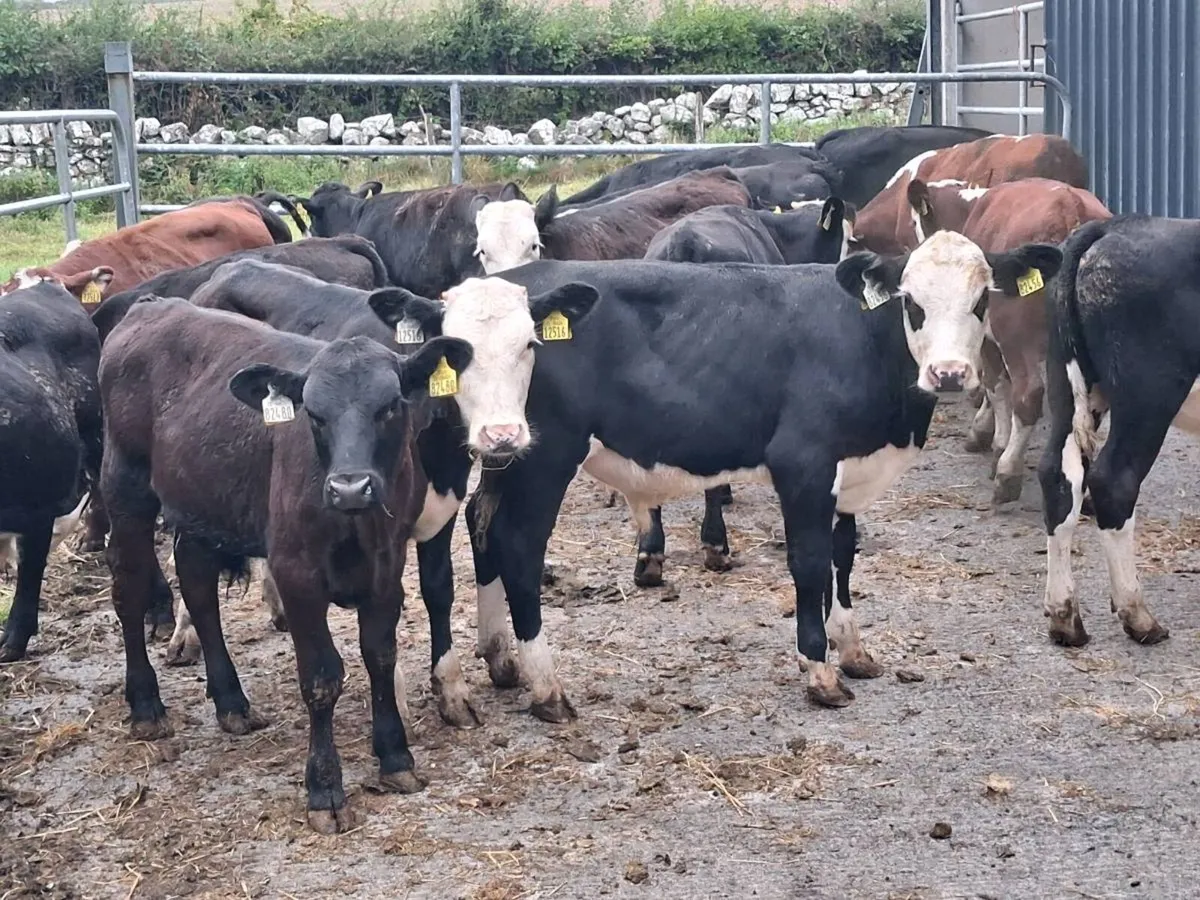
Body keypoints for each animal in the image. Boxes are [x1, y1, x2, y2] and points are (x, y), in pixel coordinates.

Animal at [99, 296, 474, 833]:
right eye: (314, 415)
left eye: (389, 407)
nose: (350, 487)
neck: (354, 525)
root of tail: (151, 305)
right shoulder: (297, 575)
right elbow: (321, 678)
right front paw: (325, 790)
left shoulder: (387, 569)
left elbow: (381, 657)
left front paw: (395, 757)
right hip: (125, 487)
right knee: (129, 590)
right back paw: (146, 706)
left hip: (200, 504)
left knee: (198, 587)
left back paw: (231, 702)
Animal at [172, 259, 600, 729]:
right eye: (459, 354)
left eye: (528, 344)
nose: (501, 435)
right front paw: (394, 705)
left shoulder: (442, 507)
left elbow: (438, 589)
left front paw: (451, 691)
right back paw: (191, 644)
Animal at [379, 237, 1062, 721]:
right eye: (911, 302)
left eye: (981, 300)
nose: (949, 374)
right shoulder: (804, 462)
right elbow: (810, 564)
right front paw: (820, 671)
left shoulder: (849, 474)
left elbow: (844, 557)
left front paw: (854, 651)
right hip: (545, 457)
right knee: (518, 547)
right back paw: (546, 686)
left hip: (507, 455)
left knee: (482, 524)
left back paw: (502, 659)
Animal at [907, 177, 1112, 504]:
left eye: (915, 221)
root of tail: (1070, 207)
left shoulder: (986, 339)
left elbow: (995, 386)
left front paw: (990, 438)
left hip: (1018, 339)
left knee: (1028, 395)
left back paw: (1008, 471)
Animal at [1038, 215, 1200, 649]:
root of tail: (1112, 224)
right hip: (1149, 393)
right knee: (1114, 479)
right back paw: (1139, 617)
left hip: (1068, 383)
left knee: (1059, 475)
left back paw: (1065, 619)